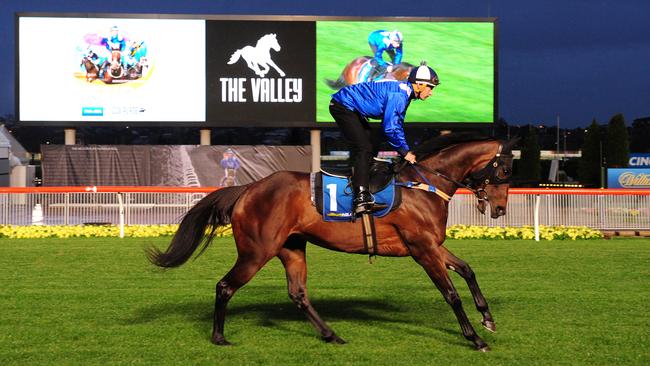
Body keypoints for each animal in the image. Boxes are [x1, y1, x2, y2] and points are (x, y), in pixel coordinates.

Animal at [148, 134, 516, 352]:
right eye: (504, 171)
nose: (499, 209)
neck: (424, 185)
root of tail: (249, 188)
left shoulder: (432, 245)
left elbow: (467, 270)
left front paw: (488, 318)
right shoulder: (422, 249)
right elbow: (451, 293)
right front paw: (475, 338)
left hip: (292, 248)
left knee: (298, 294)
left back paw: (331, 334)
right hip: (256, 251)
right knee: (224, 286)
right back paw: (219, 336)